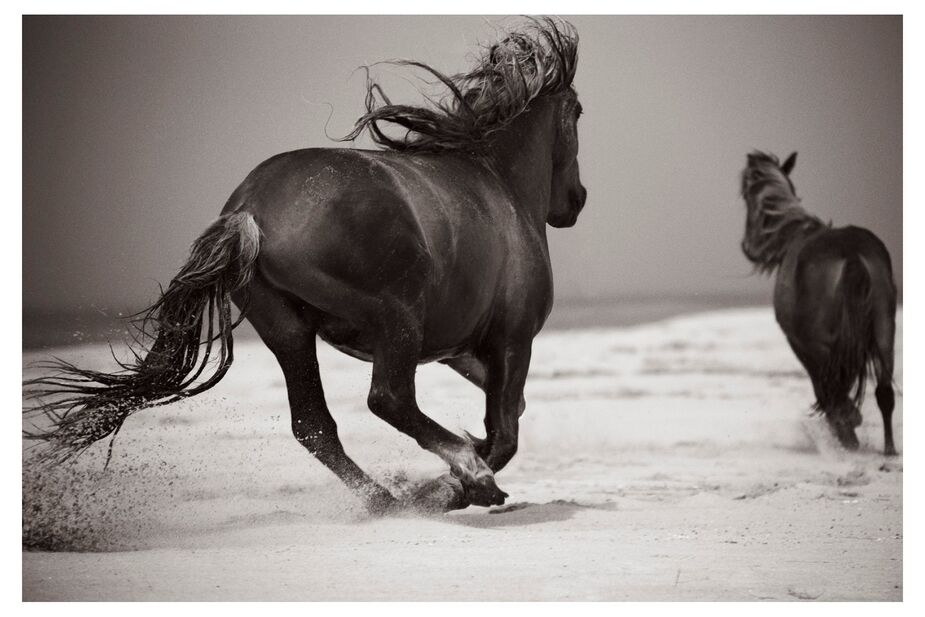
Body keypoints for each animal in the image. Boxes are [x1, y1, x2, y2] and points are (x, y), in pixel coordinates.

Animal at [25, 19, 588, 510]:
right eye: (579, 112)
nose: (576, 201)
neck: (500, 184)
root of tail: (249, 209)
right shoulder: (512, 339)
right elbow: (505, 433)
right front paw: (458, 484)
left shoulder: (461, 349)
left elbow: (507, 415)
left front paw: (448, 483)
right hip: (396, 318)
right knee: (388, 401)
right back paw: (454, 483)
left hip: (288, 330)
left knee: (315, 427)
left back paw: (387, 501)